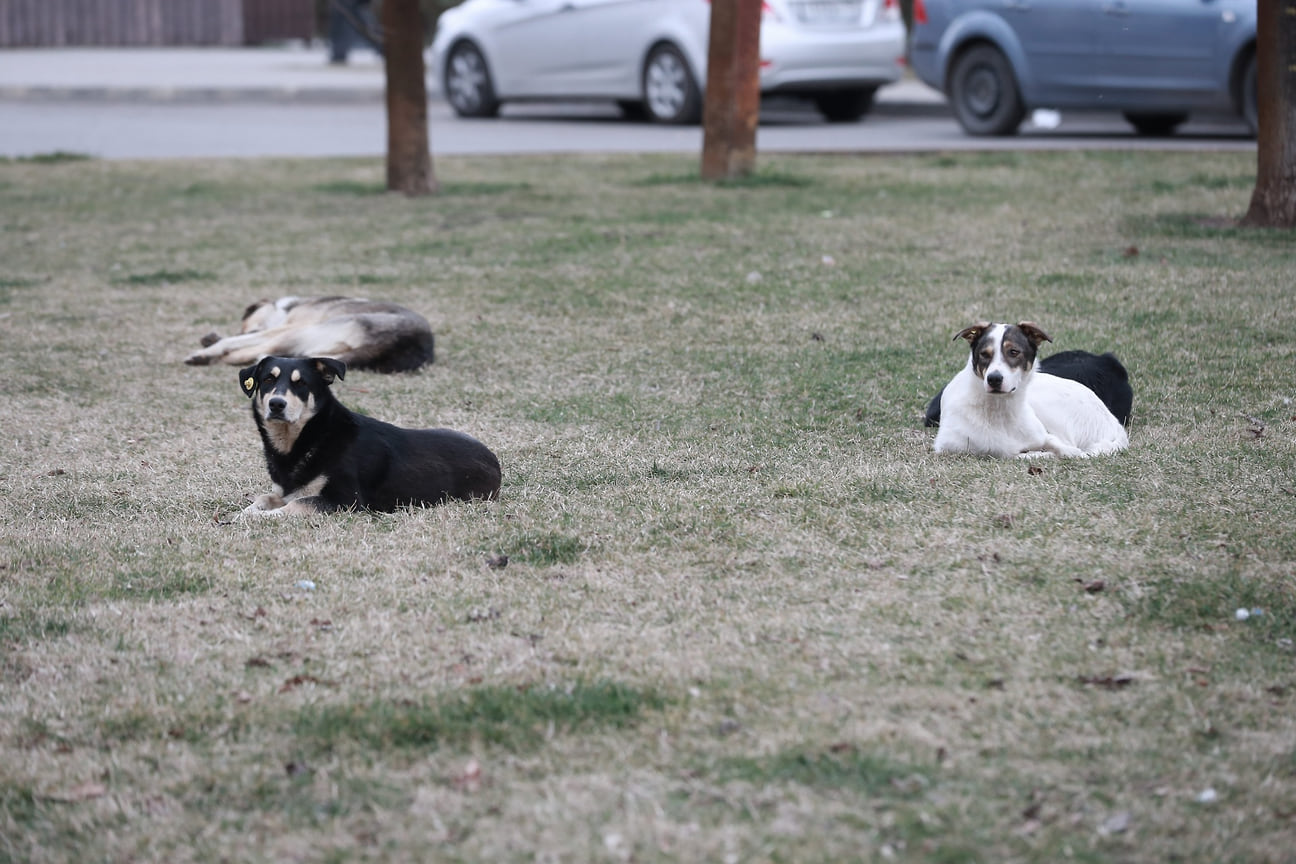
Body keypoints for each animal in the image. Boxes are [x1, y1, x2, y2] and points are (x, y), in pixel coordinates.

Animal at [238, 357, 500, 518]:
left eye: (300, 383)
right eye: (268, 380)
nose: (276, 404)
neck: (313, 435)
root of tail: (494, 460)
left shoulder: (346, 500)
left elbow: (295, 504)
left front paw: (261, 518)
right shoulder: (282, 491)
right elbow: (263, 498)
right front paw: (244, 514)